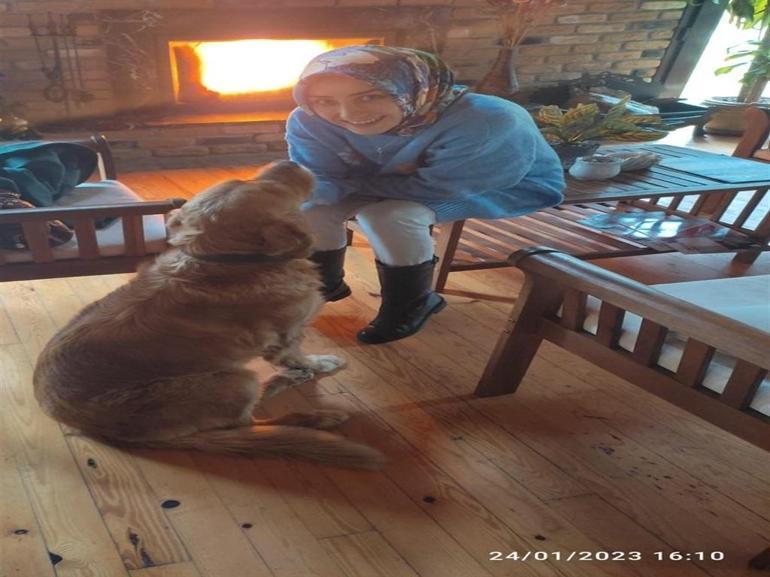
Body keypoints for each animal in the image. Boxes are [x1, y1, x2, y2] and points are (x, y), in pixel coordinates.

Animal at [34, 161, 384, 468]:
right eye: (265, 186)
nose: (293, 162)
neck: (231, 261)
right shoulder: (286, 337)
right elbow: (302, 356)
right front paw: (320, 364)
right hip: (234, 382)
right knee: (247, 423)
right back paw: (314, 414)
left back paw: (283, 383)